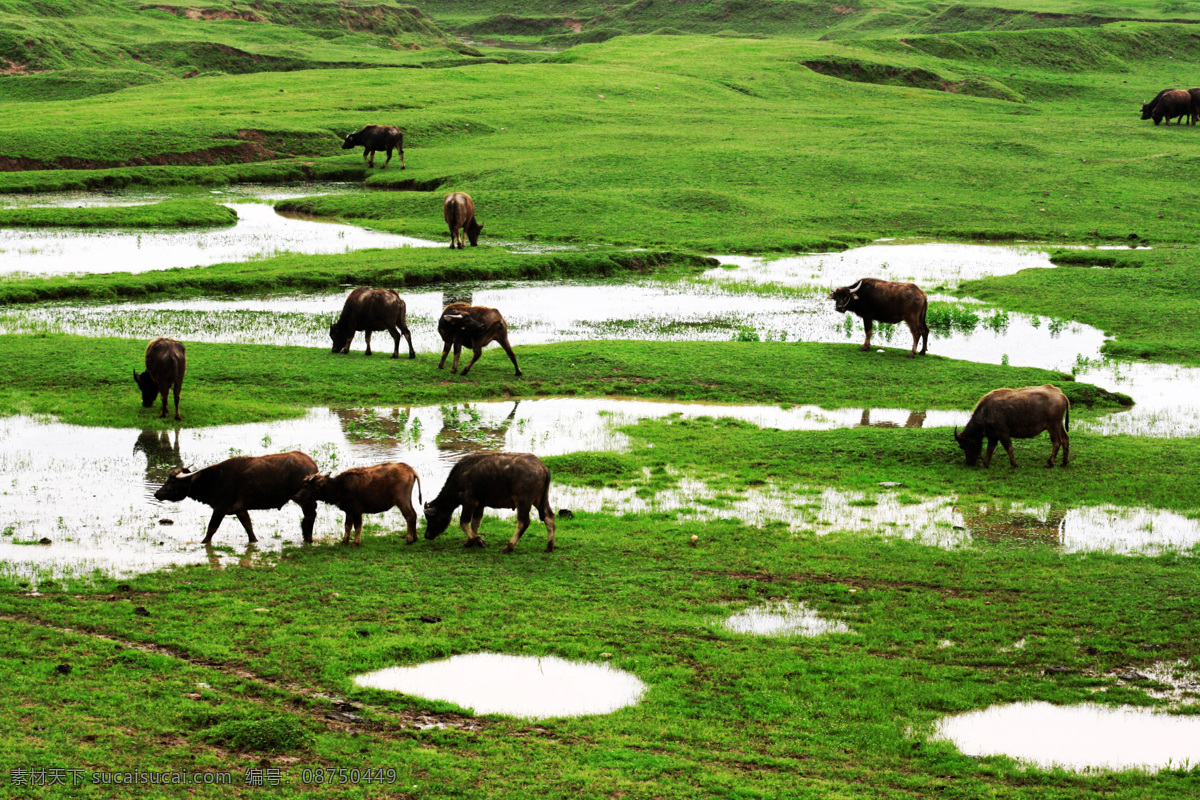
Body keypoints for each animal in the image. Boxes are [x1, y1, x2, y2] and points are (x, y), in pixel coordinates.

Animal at [151, 450, 319, 544]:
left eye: (173, 481)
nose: (157, 493)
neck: (213, 480)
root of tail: (312, 464)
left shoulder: (220, 508)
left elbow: (211, 528)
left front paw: (204, 542)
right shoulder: (240, 509)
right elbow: (248, 526)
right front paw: (253, 541)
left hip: (305, 499)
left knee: (310, 516)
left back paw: (308, 539)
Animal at [290, 460, 422, 546]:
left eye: (307, 486)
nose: (296, 496)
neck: (340, 487)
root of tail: (409, 469)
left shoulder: (357, 511)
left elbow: (358, 526)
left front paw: (356, 542)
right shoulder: (349, 511)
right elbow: (347, 526)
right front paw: (344, 541)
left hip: (401, 500)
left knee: (409, 516)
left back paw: (409, 539)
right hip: (408, 500)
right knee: (414, 514)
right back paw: (415, 538)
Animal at [424, 453, 554, 554]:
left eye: (431, 518)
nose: (426, 535)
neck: (459, 478)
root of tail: (541, 465)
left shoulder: (469, 503)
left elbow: (464, 523)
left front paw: (479, 541)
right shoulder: (480, 505)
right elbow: (475, 524)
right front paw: (470, 542)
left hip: (523, 502)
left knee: (523, 523)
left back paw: (508, 547)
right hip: (539, 499)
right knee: (549, 517)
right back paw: (549, 546)